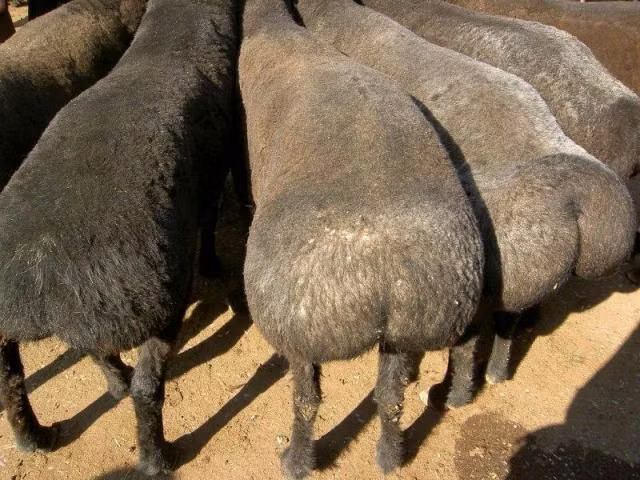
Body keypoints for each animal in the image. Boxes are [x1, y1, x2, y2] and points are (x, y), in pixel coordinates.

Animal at [240, 0, 484, 476]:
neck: (273, 25)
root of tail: (382, 274)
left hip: (302, 330)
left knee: (307, 402)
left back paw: (296, 460)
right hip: (409, 326)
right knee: (391, 400)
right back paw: (390, 456)